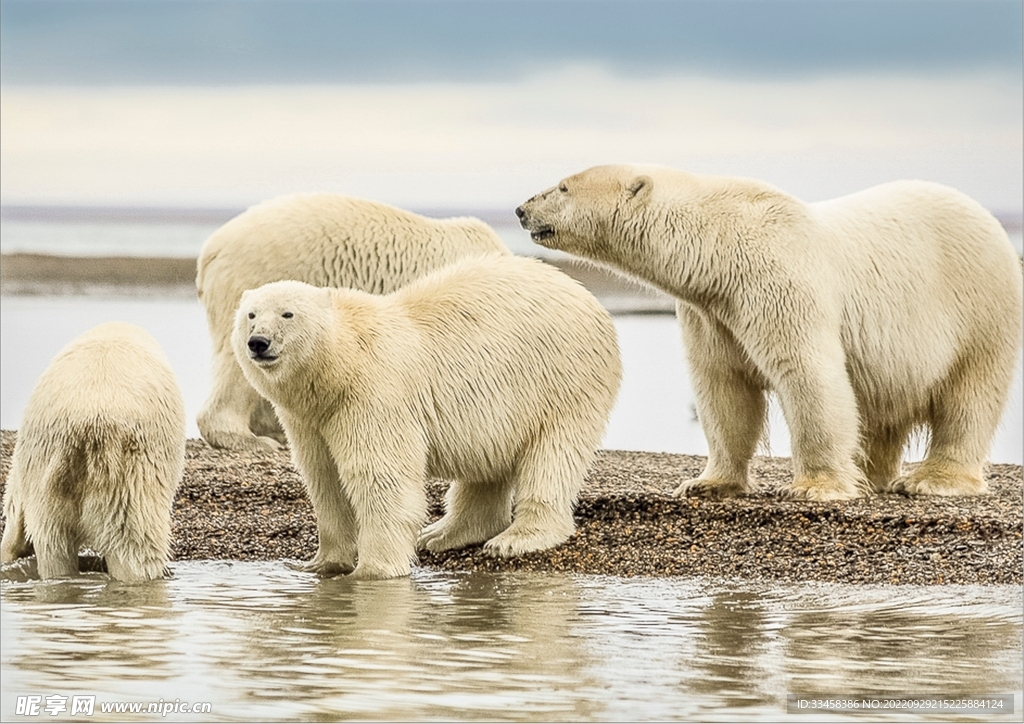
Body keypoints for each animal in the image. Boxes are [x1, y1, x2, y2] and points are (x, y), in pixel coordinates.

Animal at [232, 254, 618, 577]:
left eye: (287, 313)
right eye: (251, 314)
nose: (259, 342)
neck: (340, 366)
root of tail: (582, 293)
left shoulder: (373, 395)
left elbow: (380, 477)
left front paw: (373, 570)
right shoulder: (310, 418)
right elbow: (324, 478)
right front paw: (322, 563)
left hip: (561, 379)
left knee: (552, 455)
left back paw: (515, 539)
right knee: (487, 463)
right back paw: (444, 533)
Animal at [520, 164, 1024, 501]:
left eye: (562, 187)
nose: (522, 209)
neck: (720, 246)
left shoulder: (778, 283)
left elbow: (808, 374)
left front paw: (814, 487)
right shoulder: (711, 312)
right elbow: (723, 387)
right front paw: (706, 483)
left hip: (979, 306)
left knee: (969, 394)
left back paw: (932, 479)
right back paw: (869, 473)